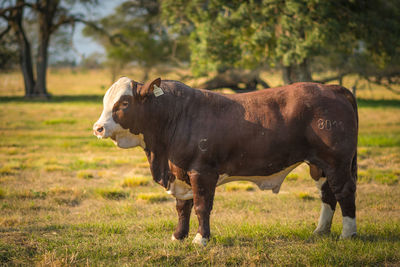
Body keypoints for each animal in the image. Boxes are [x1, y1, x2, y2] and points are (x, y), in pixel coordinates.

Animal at [94, 76, 360, 246]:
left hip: (336, 162)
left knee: (344, 192)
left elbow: (201, 207)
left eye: (124, 102)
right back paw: (320, 231)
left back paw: (348, 234)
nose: (98, 128)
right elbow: (183, 207)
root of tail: (333, 88)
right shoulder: (180, 173)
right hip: (318, 166)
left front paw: (201, 239)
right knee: (327, 194)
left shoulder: (202, 172)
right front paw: (178, 236)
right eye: (106, 102)